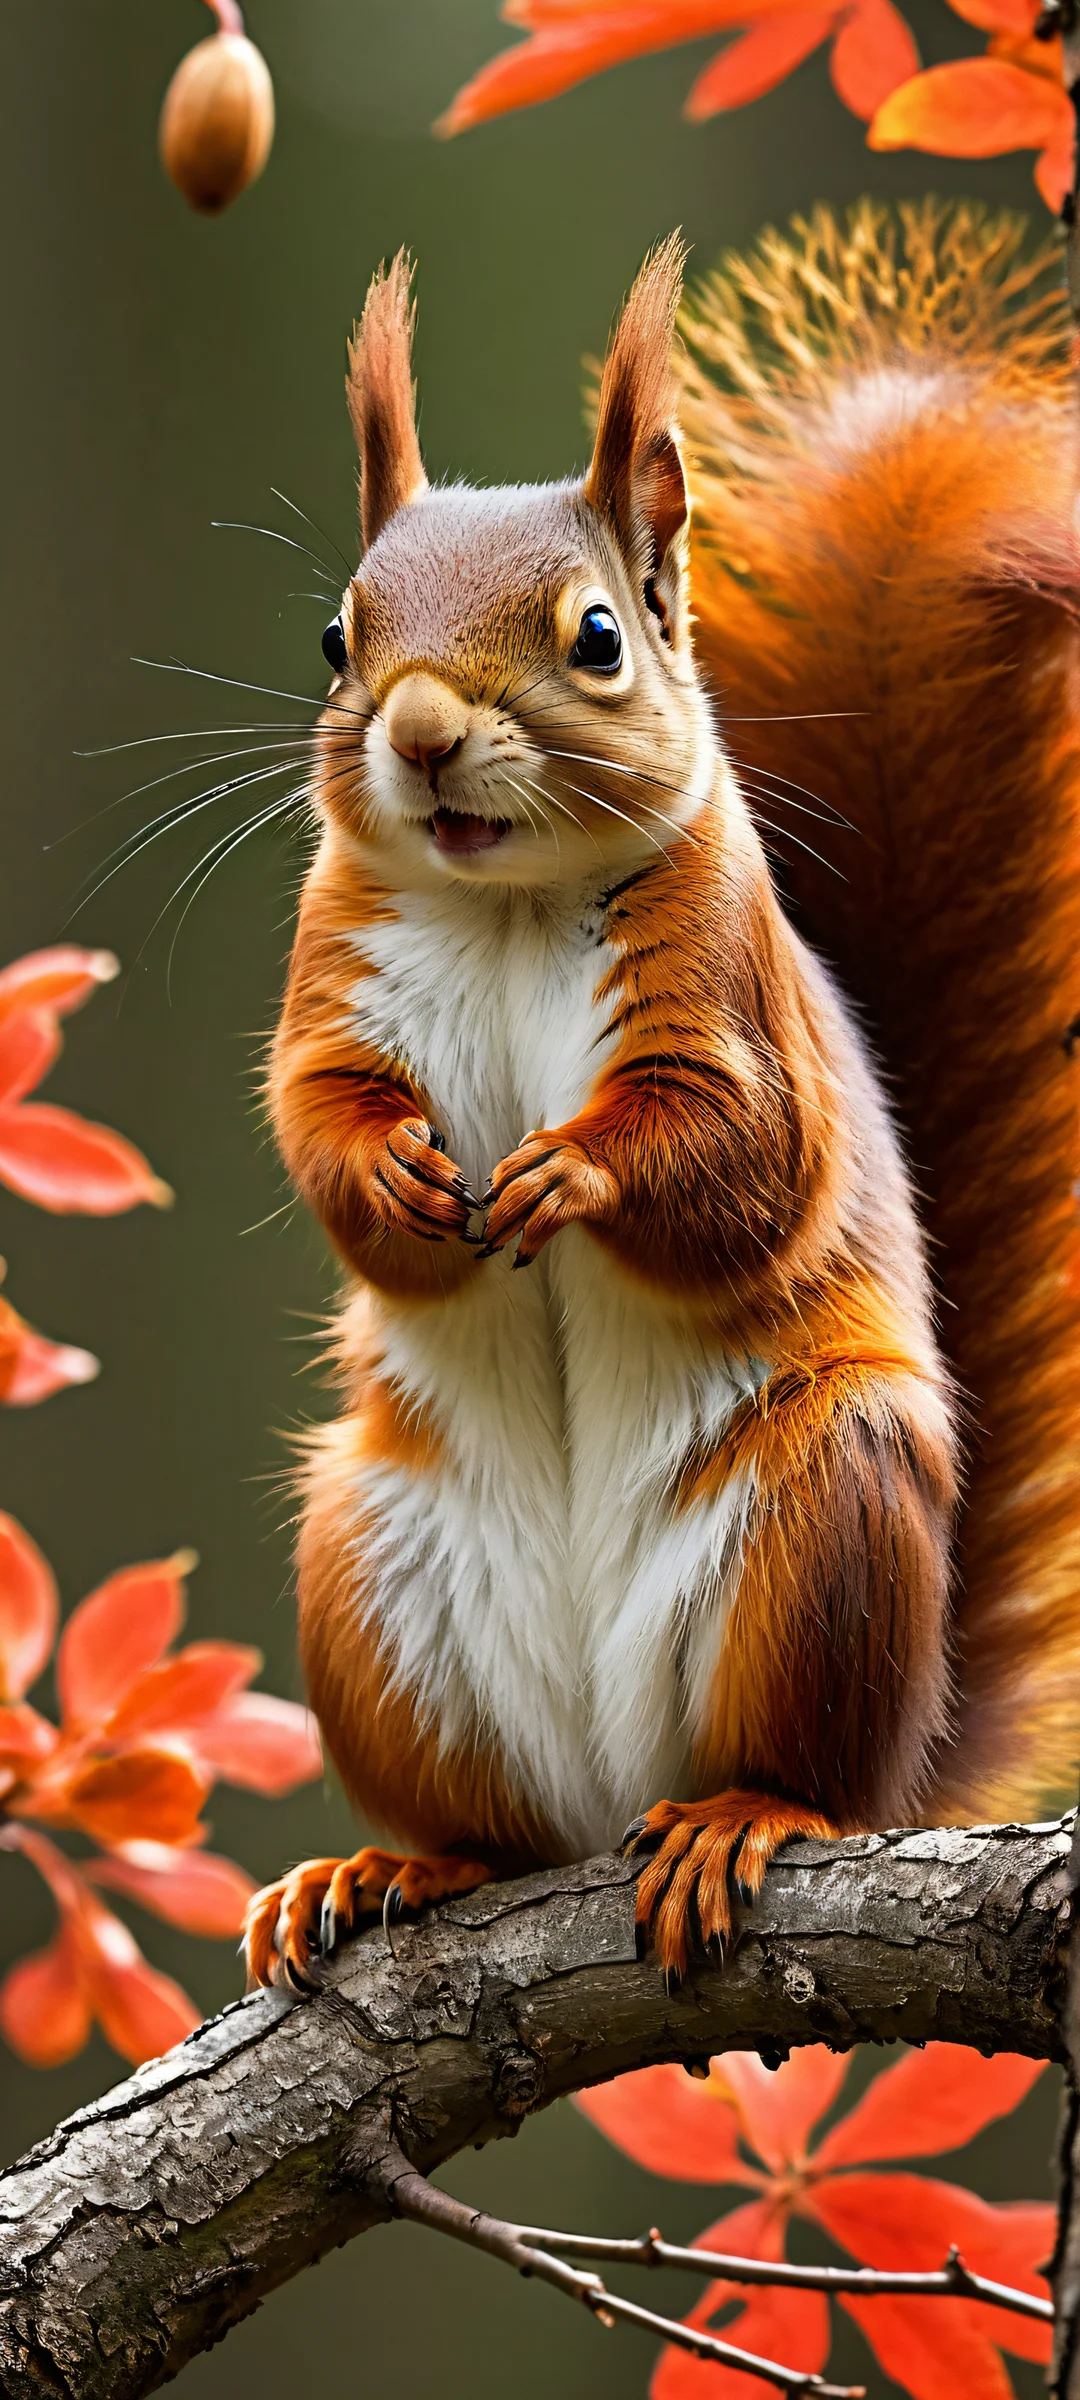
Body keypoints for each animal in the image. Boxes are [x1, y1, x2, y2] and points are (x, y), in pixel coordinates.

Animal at [243, 202, 1080, 1991]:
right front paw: (399, 1175)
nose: (420, 732)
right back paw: (397, 1863)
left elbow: (739, 1159)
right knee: (490, 1833)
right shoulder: (331, 988)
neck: (501, 906)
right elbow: (321, 1126)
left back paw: (741, 1816)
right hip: (371, 1558)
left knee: (797, 1769)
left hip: (824, 1518)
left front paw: (570, 1176)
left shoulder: (732, 1007)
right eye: (339, 639)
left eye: (598, 636)